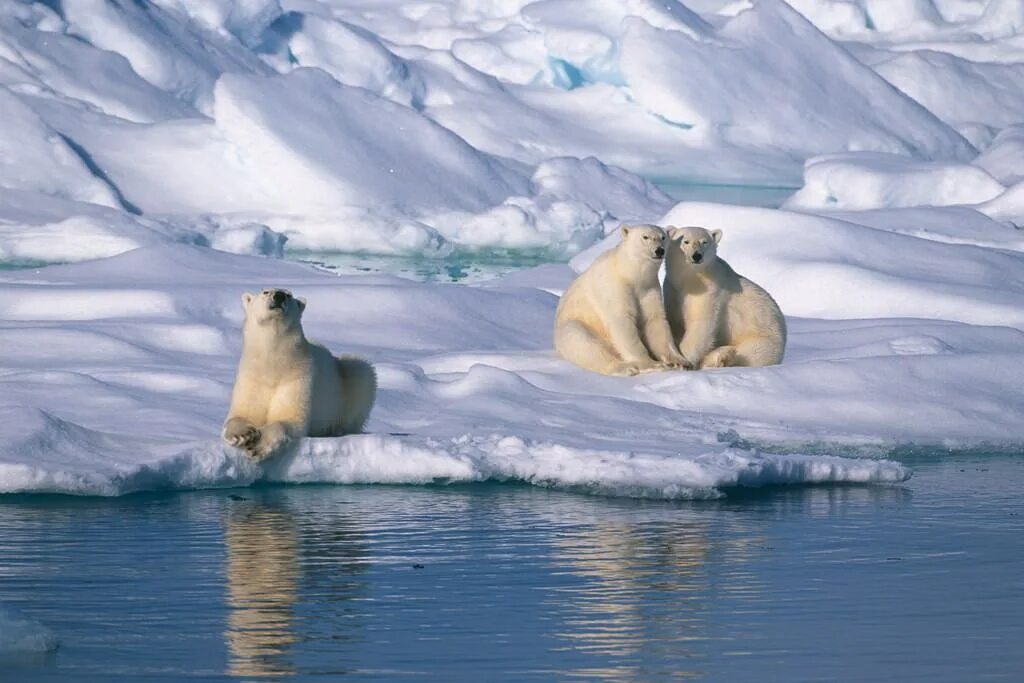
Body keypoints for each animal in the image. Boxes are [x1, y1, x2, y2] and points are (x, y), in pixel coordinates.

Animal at [222, 290, 378, 462]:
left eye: (289, 294)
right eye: (265, 291)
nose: (279, 295)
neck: (274, 367)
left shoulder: (298, 377)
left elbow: (289, 419)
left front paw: (257, 447)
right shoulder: (252, 377)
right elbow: (242, 413)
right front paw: (243, 435)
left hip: (346, 379)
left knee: (361, 371)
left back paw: (337, 429)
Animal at [552, 224, 688, 376]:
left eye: (663, 237)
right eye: (645, 237)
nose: (659, 250)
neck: (629, 273)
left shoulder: (649, 289)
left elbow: (655, 321)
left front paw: (680, 362)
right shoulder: (614, 287)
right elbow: (622, 321)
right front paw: (652, 364)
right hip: (575, 327)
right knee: (582, 340)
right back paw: (626, 368)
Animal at [659, 227, 786, 368]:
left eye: (705, 242)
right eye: (685, 241)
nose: (697, 255)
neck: (689, 280)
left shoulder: (711, 291)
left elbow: (701, 325)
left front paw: (683, 360)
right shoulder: (672, 288)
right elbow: (675, 320)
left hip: (761, 340)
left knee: (747, 354)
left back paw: (719, 358)